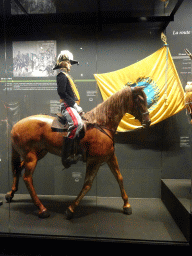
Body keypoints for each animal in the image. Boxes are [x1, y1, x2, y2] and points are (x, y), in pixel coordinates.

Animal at [5, 85, 150, 218]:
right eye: (139, 99)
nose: (148, 122)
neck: (102, 125)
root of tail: (15, 125)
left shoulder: (110, 157)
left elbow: (119, 177)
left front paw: (127, 205)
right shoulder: (94, 161)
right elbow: (87, 184)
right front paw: (71, 208)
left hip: (38, 153)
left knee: (18, 168)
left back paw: (10, 194)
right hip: (31, 157)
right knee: (27, 178)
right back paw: (42, 209)